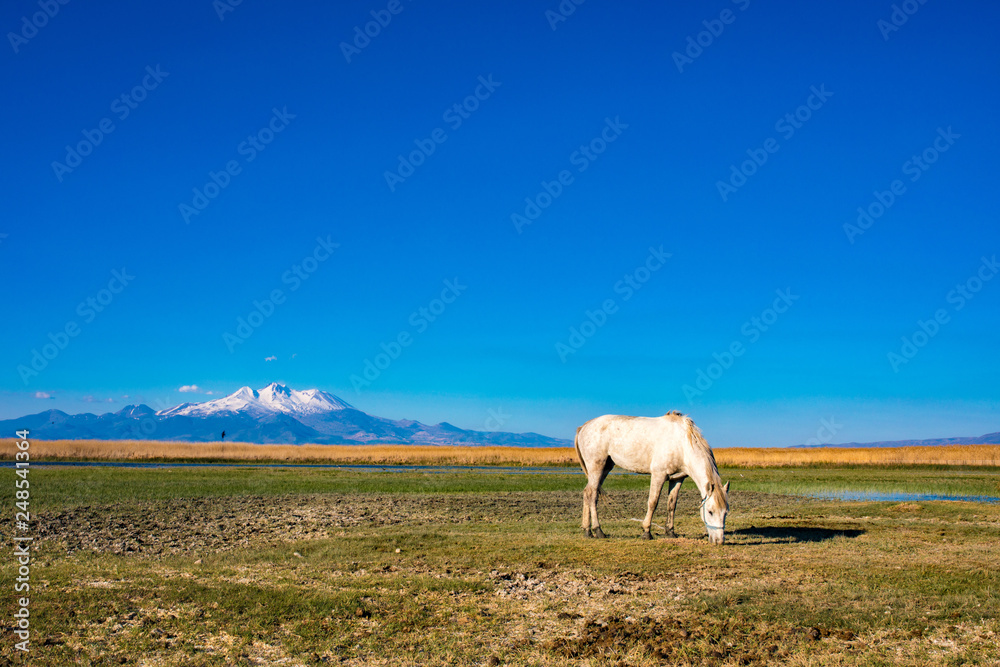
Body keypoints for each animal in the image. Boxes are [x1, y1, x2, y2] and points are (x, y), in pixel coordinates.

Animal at [574, 411, 730, 545]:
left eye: (726, 513)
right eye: (710, 512)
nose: (719, 541)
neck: (682, 443)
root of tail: (584, 427)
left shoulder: (677, 479)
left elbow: (671, 504)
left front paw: (670, 532)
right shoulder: (658, 475)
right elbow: (653, 502)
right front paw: (646, 532)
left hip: (605, 468)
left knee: (587, 493)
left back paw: (587, 530)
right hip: (597, 467)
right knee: (592, 494)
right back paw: (598, 530)